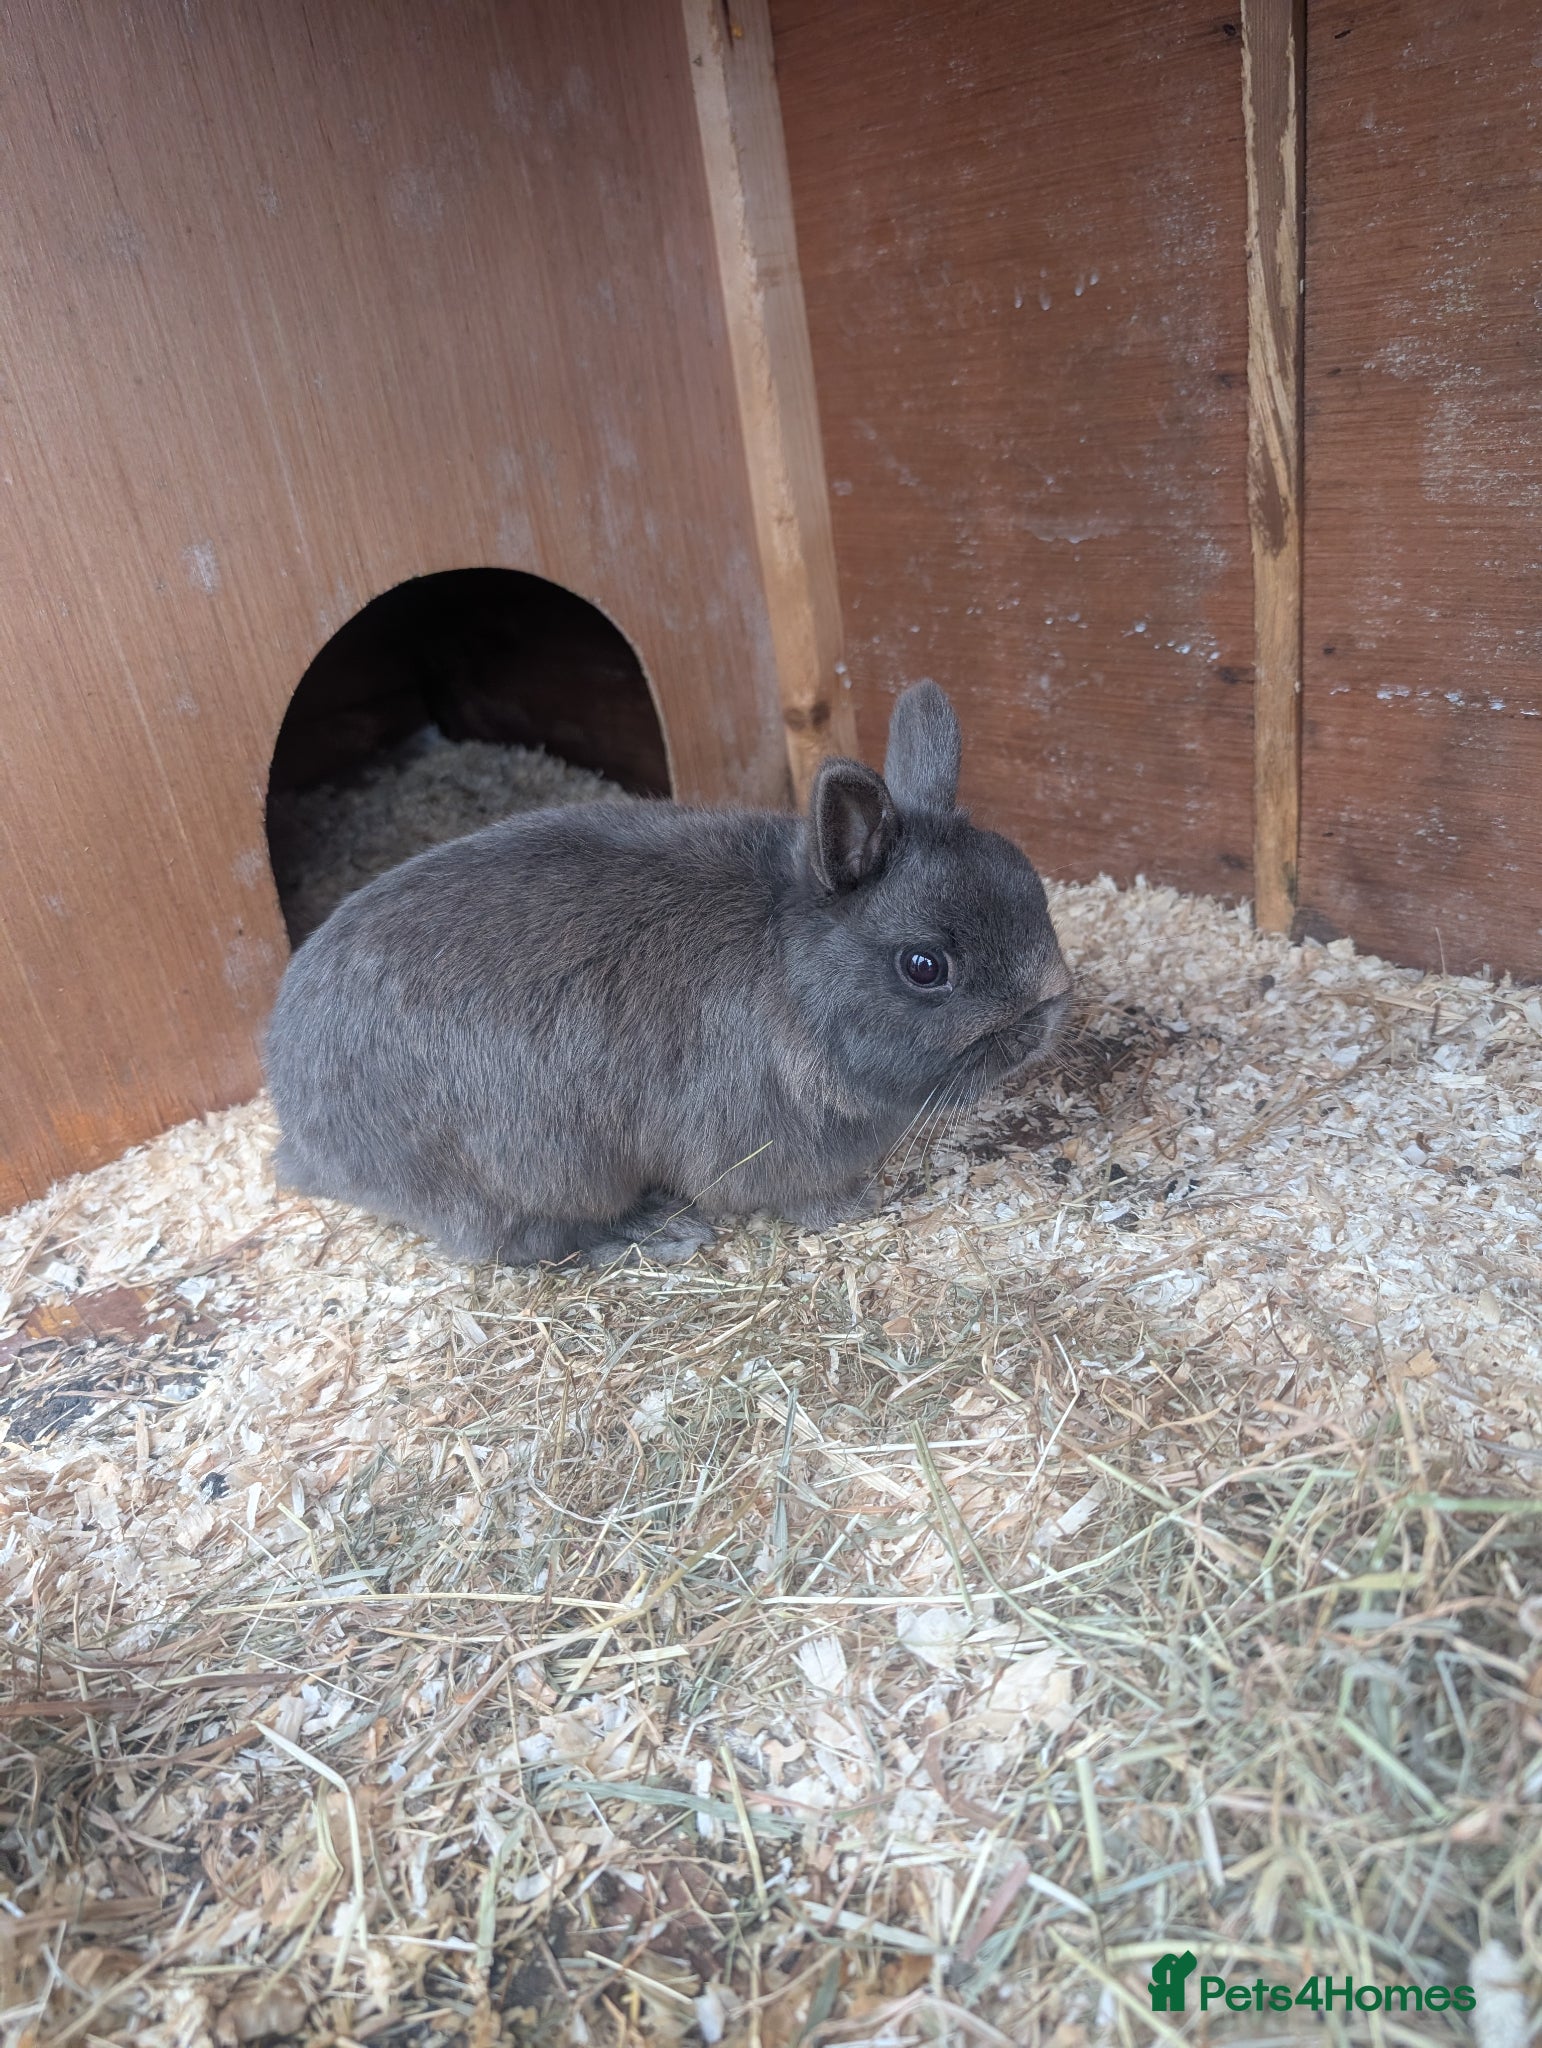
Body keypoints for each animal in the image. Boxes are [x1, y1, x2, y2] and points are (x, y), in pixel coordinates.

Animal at [264, 681, 1072, 1267]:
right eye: (924, 966)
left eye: (1028, 882)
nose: (1050, 1007)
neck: (792, 971)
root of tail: (303, 1137)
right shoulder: (771, 1147)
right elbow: (803, 1197)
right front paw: (857, 1206)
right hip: (527, 1177)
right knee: (530, 1242)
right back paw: (659, 1231)